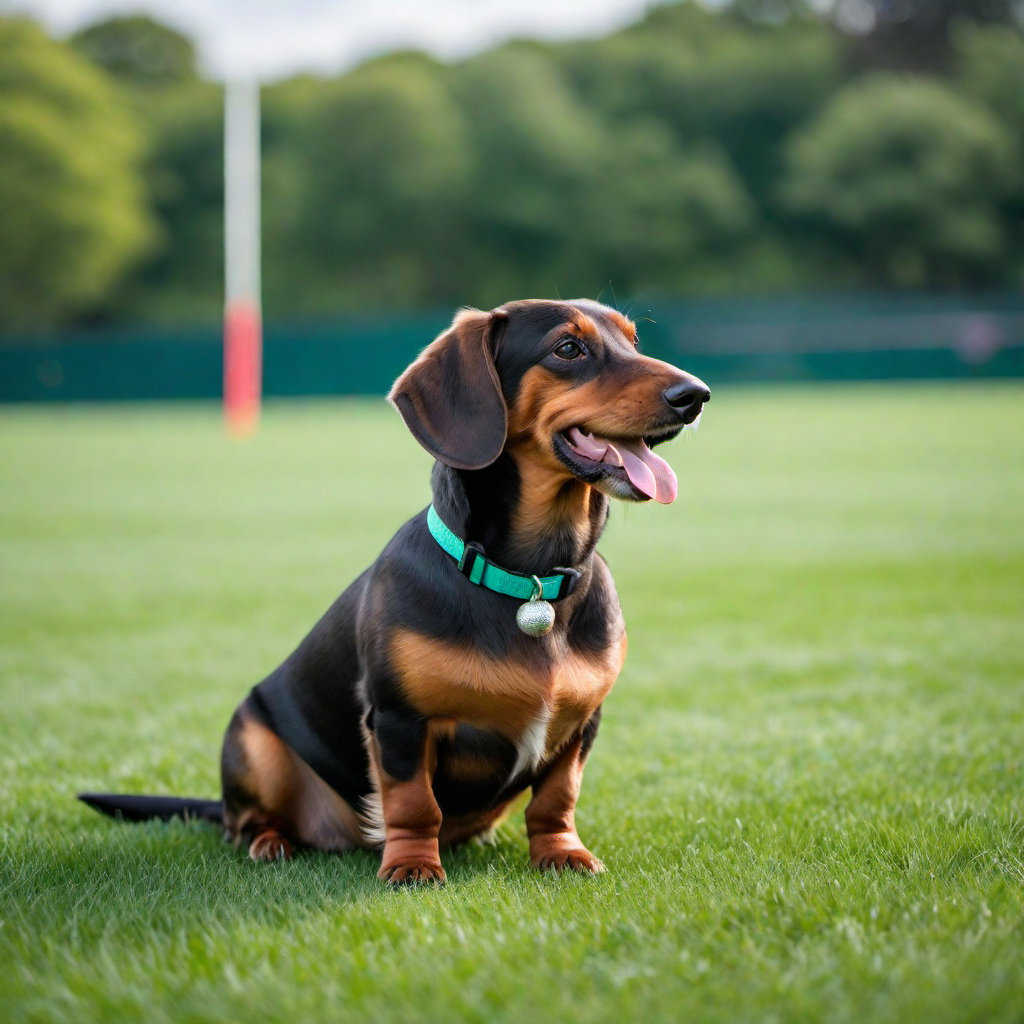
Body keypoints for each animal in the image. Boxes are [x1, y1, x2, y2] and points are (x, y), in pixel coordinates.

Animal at [79, 299, 708, 884]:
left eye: (633, 341)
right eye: (568, 349)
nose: (695, 395)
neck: (529, 581)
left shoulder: (581, 725)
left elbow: (557, 799)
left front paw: (562, 854)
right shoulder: (400, 721)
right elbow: (412, 803)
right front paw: (411, 866)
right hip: (254, 742)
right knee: (244, 823)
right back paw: (271, 842)